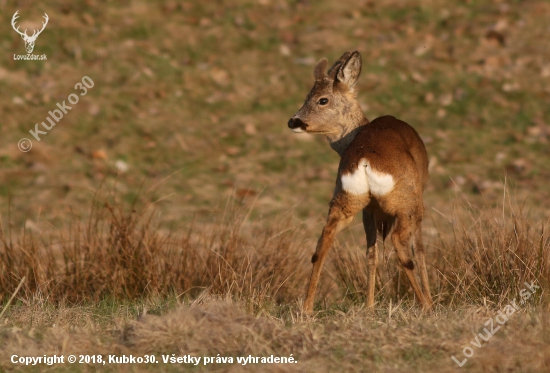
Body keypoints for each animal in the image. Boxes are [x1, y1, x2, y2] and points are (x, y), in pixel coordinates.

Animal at [288, 50, 436, 312]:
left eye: (321, 99)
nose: (293, 121)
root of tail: (364, 158)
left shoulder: (370, 208)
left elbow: (371, 252)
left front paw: (369, 306)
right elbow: (419, 249)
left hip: (347, 197)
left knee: (323, 240)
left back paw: (307, 307)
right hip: (408, 201)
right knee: (402, 244)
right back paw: (427, 304)